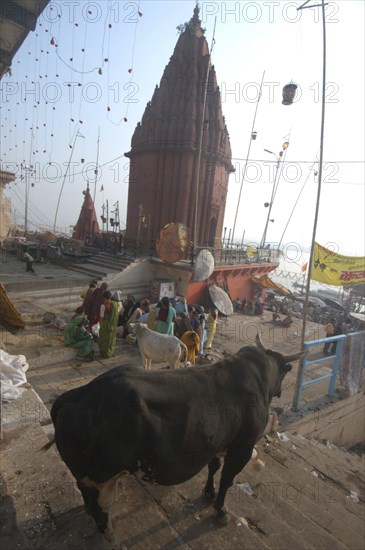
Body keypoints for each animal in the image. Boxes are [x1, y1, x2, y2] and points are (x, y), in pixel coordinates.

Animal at [42, 334, 302, 548]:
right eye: (285, 372)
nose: (279, 390)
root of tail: (78, 394)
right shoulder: (243, 447)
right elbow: (227, 479)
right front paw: (220, 510)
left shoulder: (216, 444)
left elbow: (214, 467)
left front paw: (208, 493)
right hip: (100, 478)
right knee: (99, 511)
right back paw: (114, 541)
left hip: (90, 480)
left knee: (92, 508)